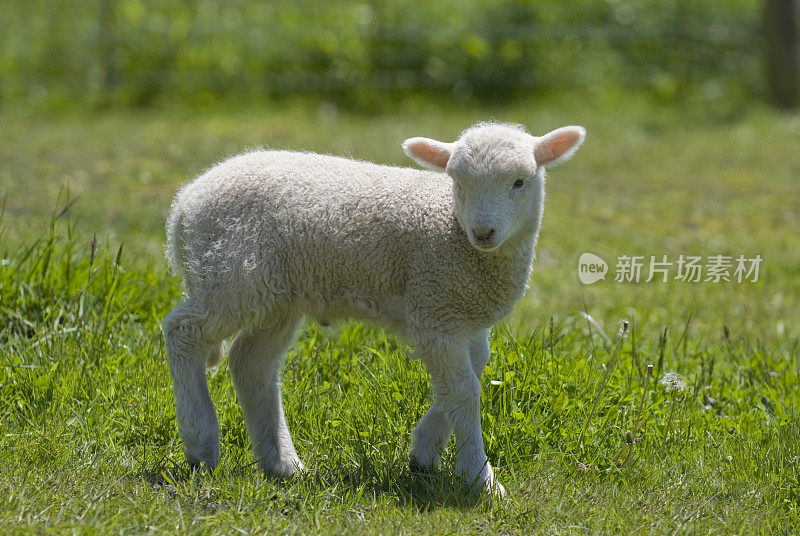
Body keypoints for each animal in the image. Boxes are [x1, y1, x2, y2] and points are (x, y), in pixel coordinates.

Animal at [164, 121, 588, 494]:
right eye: (458, 183)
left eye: (519, 182)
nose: (483, 232)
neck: (454, 233)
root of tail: (183, 206)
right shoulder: (435, 311)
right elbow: (465, 390)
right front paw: (479, 478)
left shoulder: (462, 315)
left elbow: (469, 377)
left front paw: (424, 451)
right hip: (231, 276)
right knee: (184, 331)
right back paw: (200, 442)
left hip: (276, 294)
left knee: (251, 363)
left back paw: (283, 464)